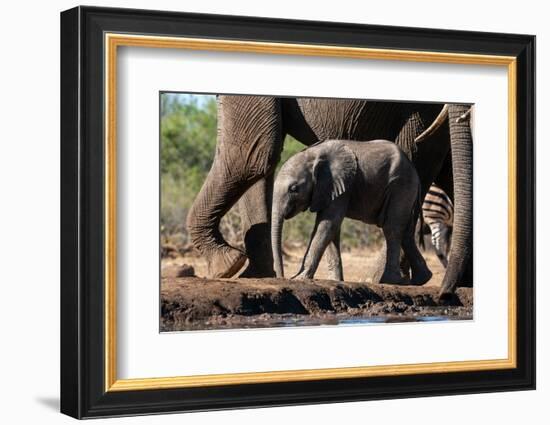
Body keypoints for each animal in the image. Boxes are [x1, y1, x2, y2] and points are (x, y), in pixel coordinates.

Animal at [274, 139, 434, 284]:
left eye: (294, 189)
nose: (281, 277)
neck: (313, 154)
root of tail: (415, 171)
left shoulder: (342, 184)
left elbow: (328, 224)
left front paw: (299, 278)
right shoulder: (329, 189)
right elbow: (330, 227)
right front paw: (336, 281)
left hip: (401, 185)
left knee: (391, 228)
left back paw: (392, 281)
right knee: (406, 231)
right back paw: (422, 279)